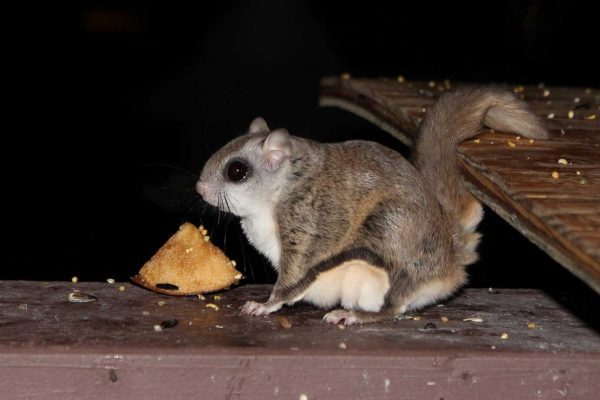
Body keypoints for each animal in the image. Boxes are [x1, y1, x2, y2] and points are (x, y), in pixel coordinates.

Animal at [197, 86, 548, 324]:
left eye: (237, 171)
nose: (200, 188)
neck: (283, 188)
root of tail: (451, 260)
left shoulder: (308, 223)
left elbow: (292, 280)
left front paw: (265, 304)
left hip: (389, 232)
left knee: (394, 307)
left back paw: (356, 316)